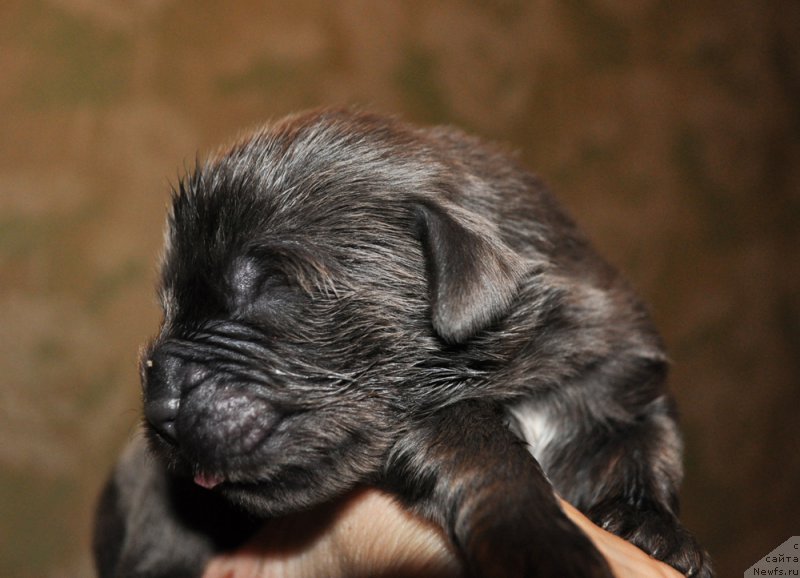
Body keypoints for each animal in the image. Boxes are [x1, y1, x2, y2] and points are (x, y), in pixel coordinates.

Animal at [94, 109, 712, 576]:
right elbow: (488, 455)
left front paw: (654, 529)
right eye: (169, 303)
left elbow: (648, 442)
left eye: (273, 286)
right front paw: (541, 543)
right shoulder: (435, 420)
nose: (159, 405)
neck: (520, 366)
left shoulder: (616, 365)